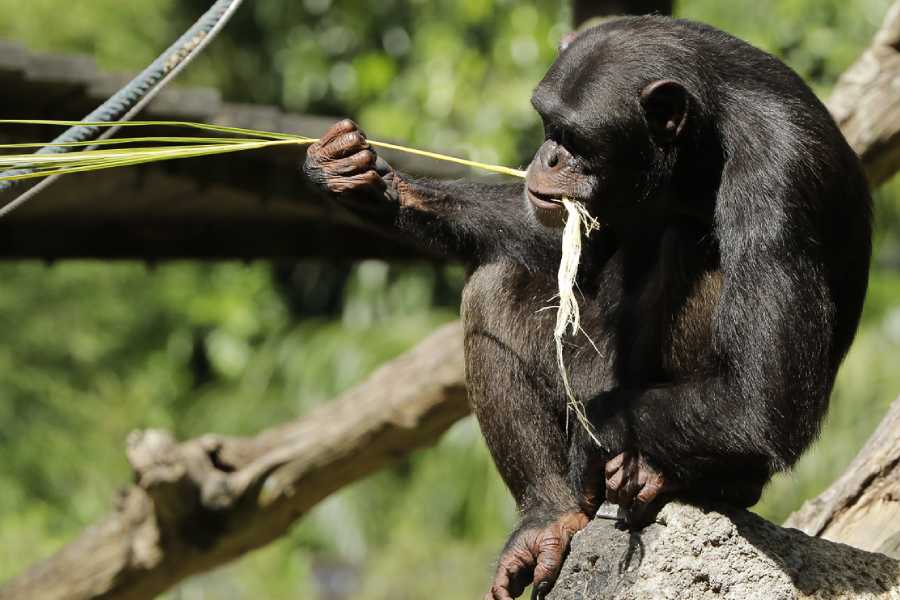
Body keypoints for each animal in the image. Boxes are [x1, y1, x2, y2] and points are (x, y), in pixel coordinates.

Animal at [303, 16, 871, 600]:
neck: (700, 141)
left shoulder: (777, 173)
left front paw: (594, 434)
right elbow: (553, 236)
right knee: (494, 283)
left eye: (575, 139)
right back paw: (547, 517)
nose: (547, 156)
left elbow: (764, 399)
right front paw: (368, 181)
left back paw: (660, 475)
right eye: (547, 125)